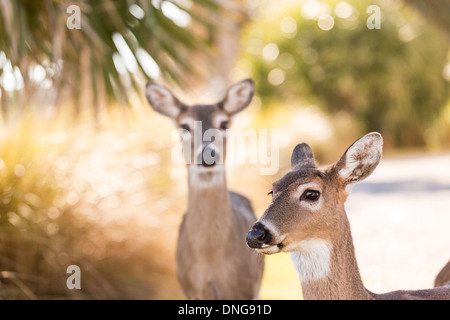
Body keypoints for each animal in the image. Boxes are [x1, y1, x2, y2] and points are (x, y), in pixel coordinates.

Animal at [146, 79, 264, 298]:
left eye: (224, 123)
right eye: (184, 126)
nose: (208, 156)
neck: (211, 259)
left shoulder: (245, 287)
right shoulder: (192, 289)